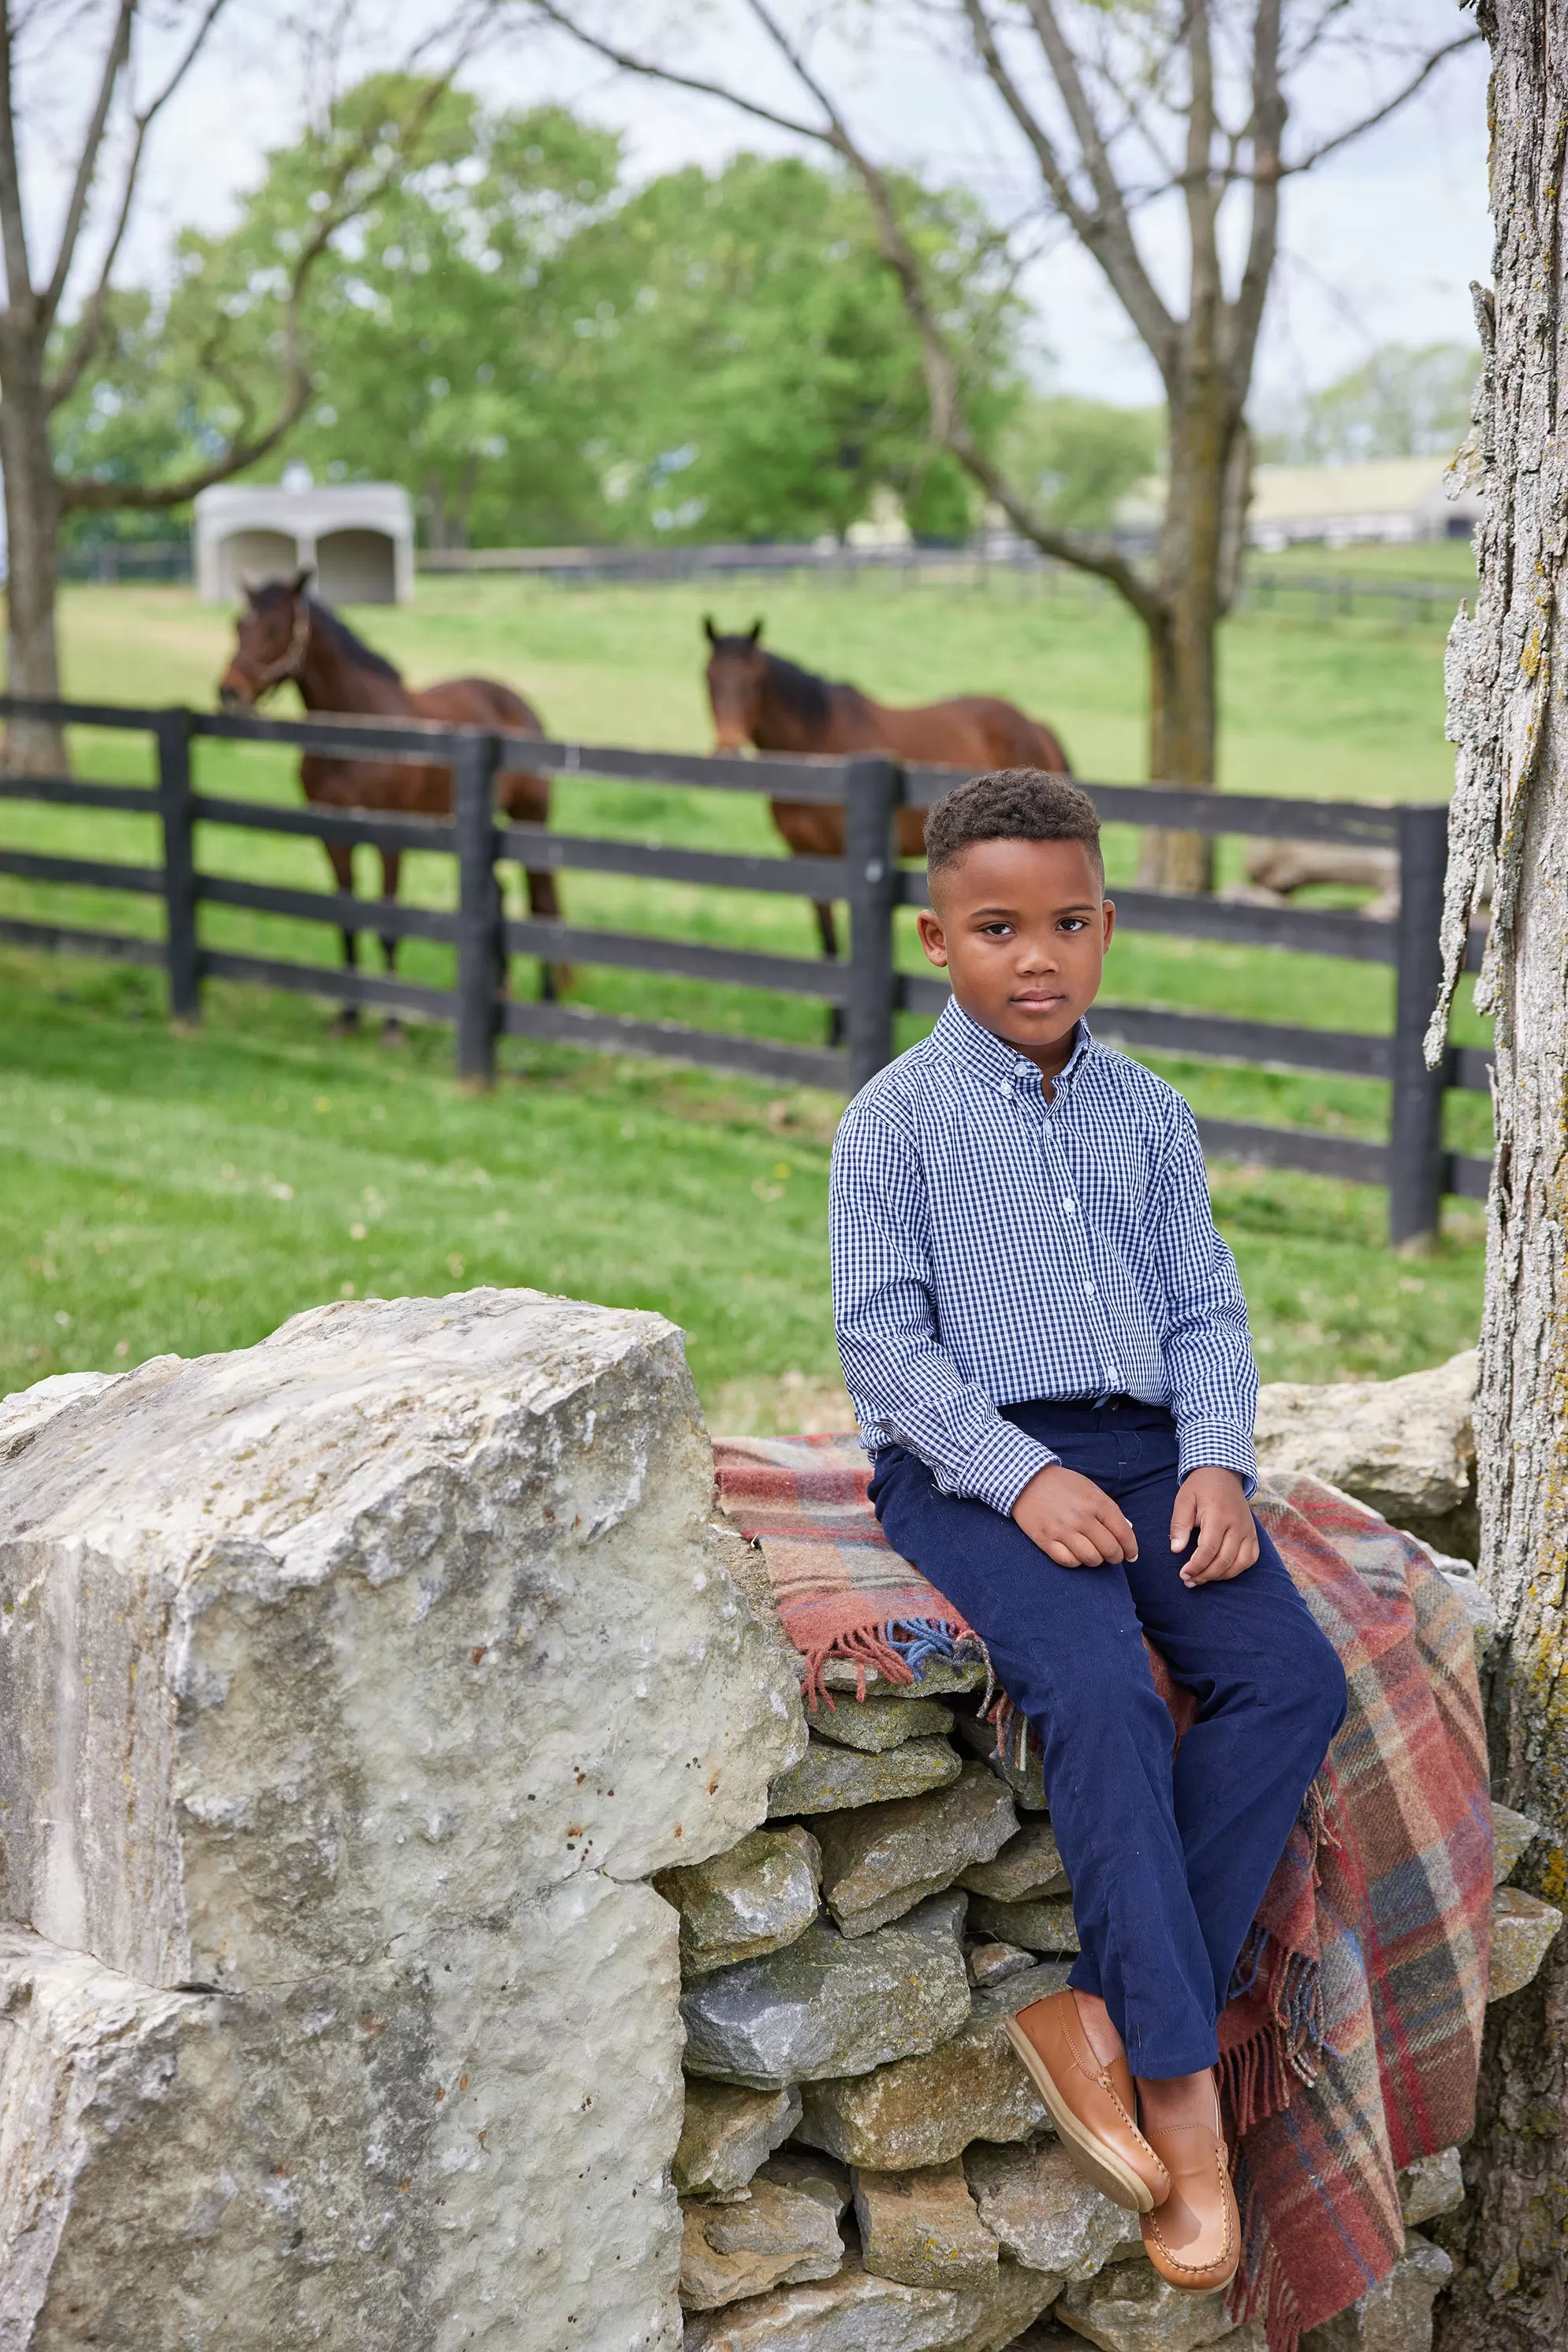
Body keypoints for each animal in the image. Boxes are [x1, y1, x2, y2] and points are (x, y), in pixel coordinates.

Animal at [219, 568, 564, 1030]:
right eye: (239, 625)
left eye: (274, 628)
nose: (229, 692)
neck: (360, 736)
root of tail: (517, 704)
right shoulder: (334, 838)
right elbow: (346, 921)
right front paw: (348, 1016)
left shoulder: (391, 841)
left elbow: (389, 923)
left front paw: (392, 1025)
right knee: (499, 894)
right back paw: (499, 989)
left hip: (531, 819)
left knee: (541, 898)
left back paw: (547, 1002)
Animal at [705, 621, 1071, 978]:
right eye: (708, 679)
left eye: (754, 683)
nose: (728, 750)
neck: (818, 750)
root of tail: (1034, 724)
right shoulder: (806, 855)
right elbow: (828, 941)